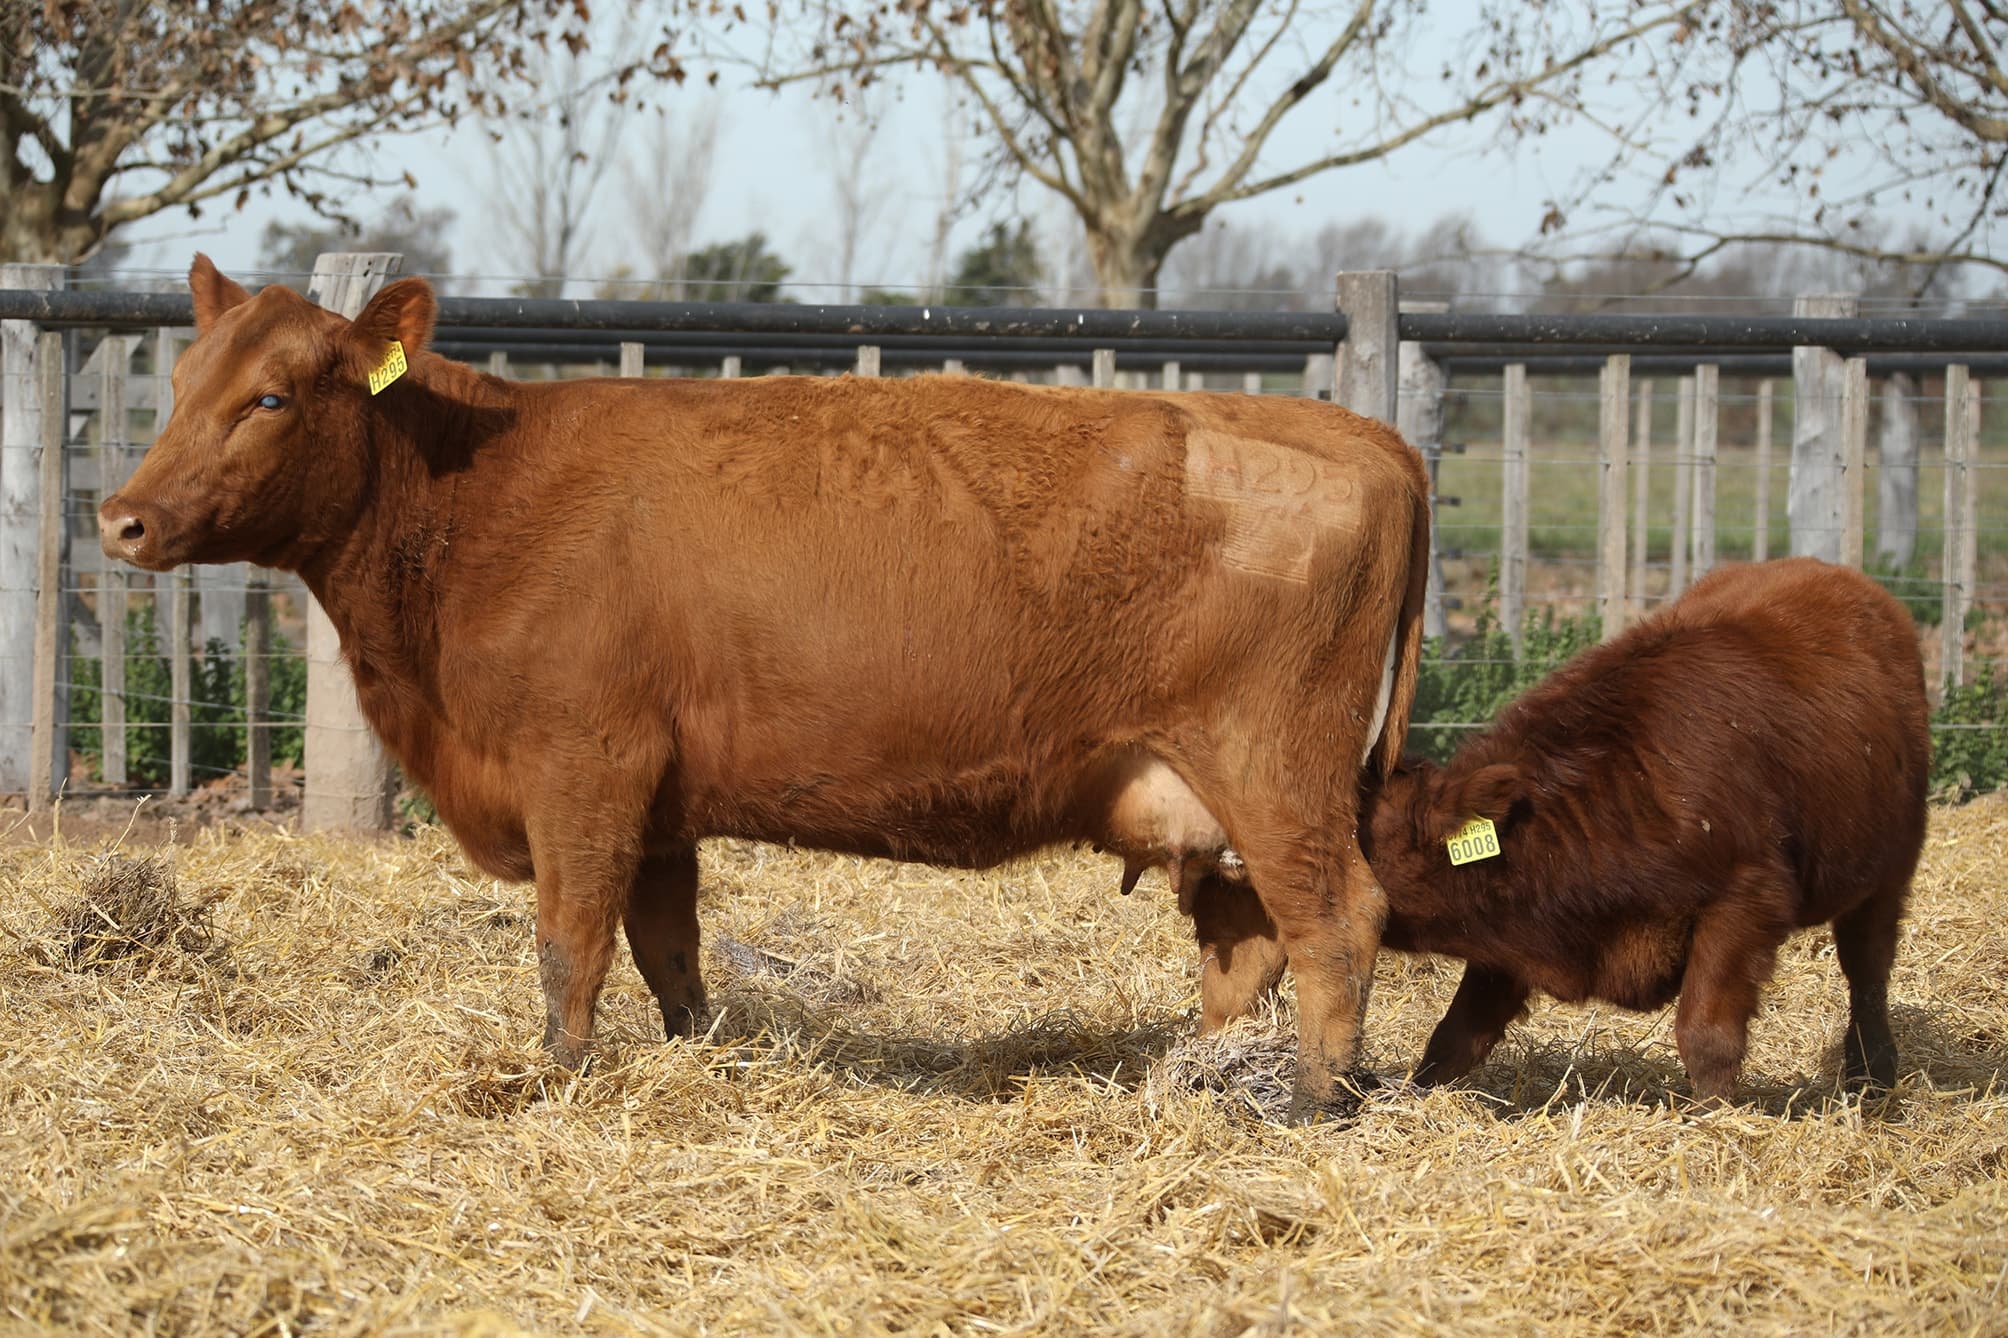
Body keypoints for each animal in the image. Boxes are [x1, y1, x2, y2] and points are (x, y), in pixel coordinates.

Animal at [97, 256, 1431, 1121]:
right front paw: (693, 1052)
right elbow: (666, 948)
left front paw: (558, 1077)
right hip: (1213, 799)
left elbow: (569, 942)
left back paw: (1310, 1099)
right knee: (1248, 945)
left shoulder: (582, 766)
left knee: (1335, 922)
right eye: (180, 385)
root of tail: (1358, 432)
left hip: (1275, 769)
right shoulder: (659, 803)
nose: (122, 518)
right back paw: (1192, 1078)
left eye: (270, 397)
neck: (476, 499)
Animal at [1186, 558, 1929, 1104]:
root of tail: (1839, 578)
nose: (1247, 859)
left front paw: (1716, 1121)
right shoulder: (1504, 931)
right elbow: (1456, 1035)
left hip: (1886, 875)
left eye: (1350, 836)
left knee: (1868, 972)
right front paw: (1418, 1101)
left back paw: (1873, 1075)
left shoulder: (1745, 904)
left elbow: (1707, 1034)